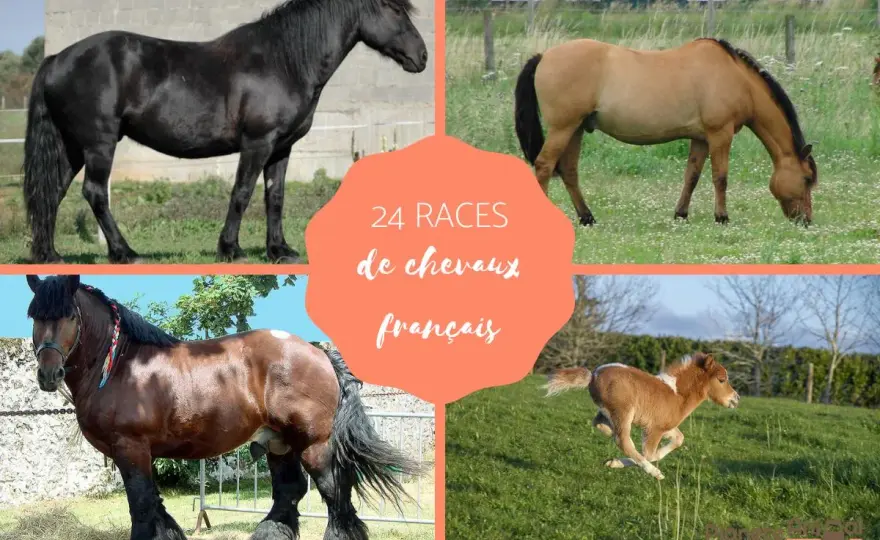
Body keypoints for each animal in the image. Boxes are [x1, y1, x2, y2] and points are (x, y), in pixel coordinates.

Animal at [23, 0, 428, 264]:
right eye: (394, 10)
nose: (422, 56)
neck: (283, 61)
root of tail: (57, 59)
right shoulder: (257, 143)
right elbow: (242, 193)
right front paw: (230, 249)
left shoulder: (281, 148)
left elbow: (275, 197)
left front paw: (280, 251)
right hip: (99, 144)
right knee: (94, 193)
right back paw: (125, 253)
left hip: (72, 147)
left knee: (52, 193)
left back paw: (51, 255)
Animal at [25, 274, 423, 540]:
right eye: (34, 317)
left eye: (70, 316)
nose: (48, 374)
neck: (122, 364)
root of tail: (319, 353)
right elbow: (154, 506)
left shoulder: (131, 448)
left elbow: (141, 507)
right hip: (279, 442)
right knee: (291, 490)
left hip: (314, 445)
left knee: (335, 495)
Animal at [515, 38, 817, 227]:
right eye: (806, 179)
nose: (806, 220)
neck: (735, 77)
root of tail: (543, 56)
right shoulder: (720, 134)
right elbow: (720, 177)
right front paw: (722, 217)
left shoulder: (701, 139)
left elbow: (692, 176)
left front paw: (681, 214)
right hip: (563, 128)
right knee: (544, 166)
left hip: (576, 128)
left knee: (568, 171)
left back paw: (587, 217)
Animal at [542, 353, 740, 480]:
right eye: (722, 380)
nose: (736, 399)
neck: (677, 394)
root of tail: (593, 375)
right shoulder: (654, 429)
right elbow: (648, 454)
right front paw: (620, 463)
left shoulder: (664, 426)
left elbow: (678, 440)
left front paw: (614, 462)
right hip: (623, 412)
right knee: (623, 441)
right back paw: (654, 472)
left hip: (612, 412)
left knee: (599, 423)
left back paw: (608, 431)